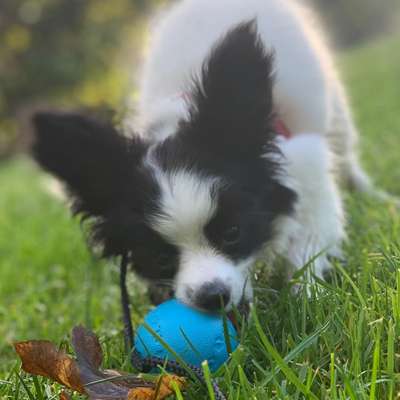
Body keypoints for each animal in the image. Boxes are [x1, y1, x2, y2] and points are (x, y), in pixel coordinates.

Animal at [32, 0, 378, 312]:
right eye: (160, 257)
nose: (211, 296)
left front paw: (307, 297)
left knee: (346, 154)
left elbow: (309, 243)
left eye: (232, 233)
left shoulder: (306, 169)